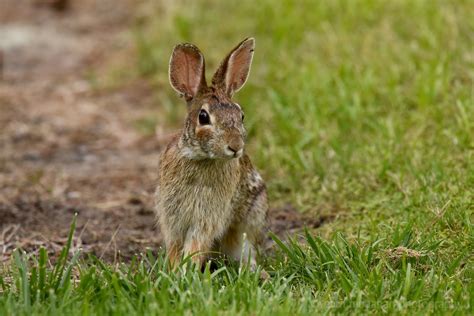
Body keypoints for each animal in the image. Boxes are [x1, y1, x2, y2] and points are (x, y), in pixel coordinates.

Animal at [155, 38, 268, 272]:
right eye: (203, 117)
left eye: (241, 115)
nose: (235, 146)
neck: (200, 157)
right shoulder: (171, 217)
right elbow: (175, 246)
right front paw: (173, 271)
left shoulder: (207, 218)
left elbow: (196, 245)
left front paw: (185, 272)